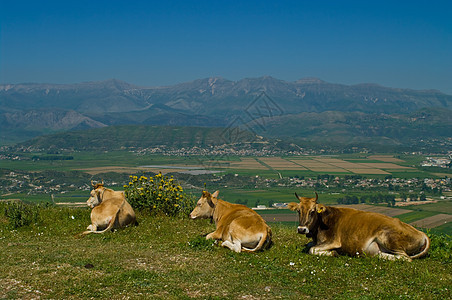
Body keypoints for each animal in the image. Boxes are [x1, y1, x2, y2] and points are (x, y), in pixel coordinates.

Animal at [290, 192, 430, 260]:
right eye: (298, 211)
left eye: (312, 211)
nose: (301, 229)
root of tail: (422, 234)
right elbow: (309, 245)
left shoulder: (334, 241)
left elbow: (312, 249)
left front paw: (334, 253)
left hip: (388, 237)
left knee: (406, 258)